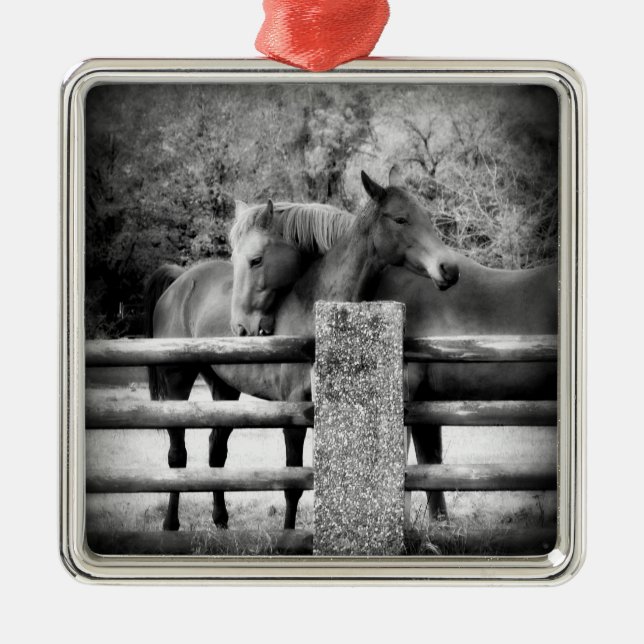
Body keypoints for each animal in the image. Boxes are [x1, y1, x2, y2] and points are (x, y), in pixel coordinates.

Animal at [146, 171, 455, 530]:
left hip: (224, 388)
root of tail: (179, 281)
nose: (448, 268)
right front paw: (288, 533)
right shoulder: (293, 412)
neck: (314, 309)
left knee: (216, 452)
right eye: (401, 218)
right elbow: (293, 482)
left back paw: (221, 521)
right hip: (177, 384)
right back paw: (171, 523)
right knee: (177, 456)